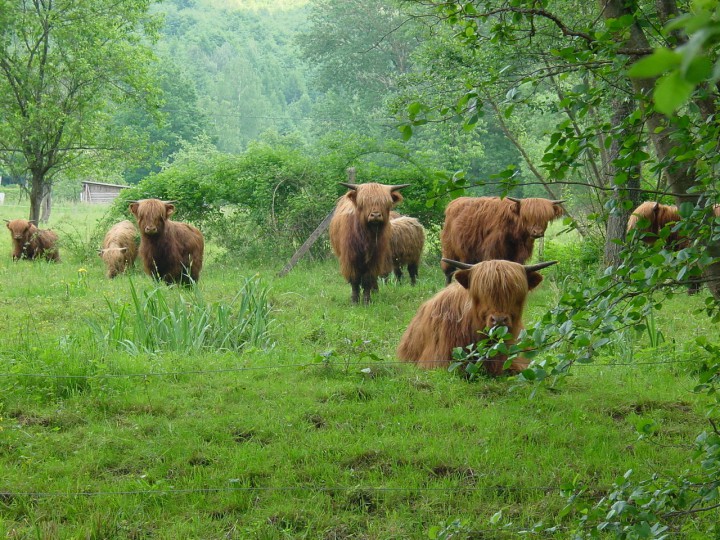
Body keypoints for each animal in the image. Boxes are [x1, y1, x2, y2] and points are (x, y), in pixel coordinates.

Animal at [436, 196, 564, 284]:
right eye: (526, 217)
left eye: (545, 217)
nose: (537, 232)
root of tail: (454, 202)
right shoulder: (493, 250)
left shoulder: (518, 255)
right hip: (449, 250)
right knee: (448, 271)